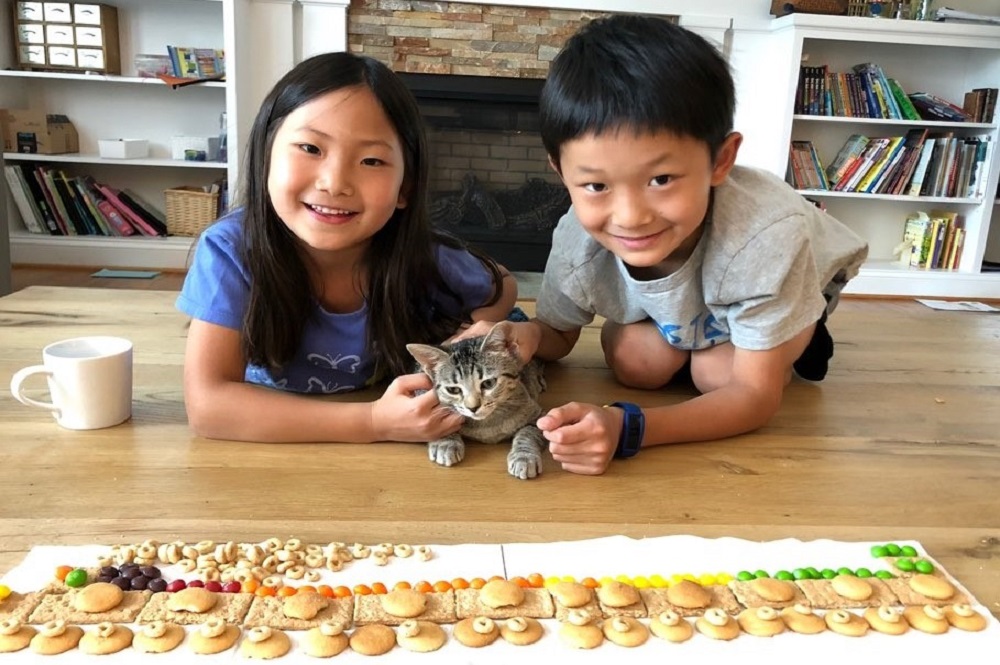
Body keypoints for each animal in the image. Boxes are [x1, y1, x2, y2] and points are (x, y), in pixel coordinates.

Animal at [406, 320, 548, 480]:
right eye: (453, 390)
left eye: (489, 383)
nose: (473, 408)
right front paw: (445, 442)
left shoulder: (539, 415)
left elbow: (528, 432)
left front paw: (524, 457)